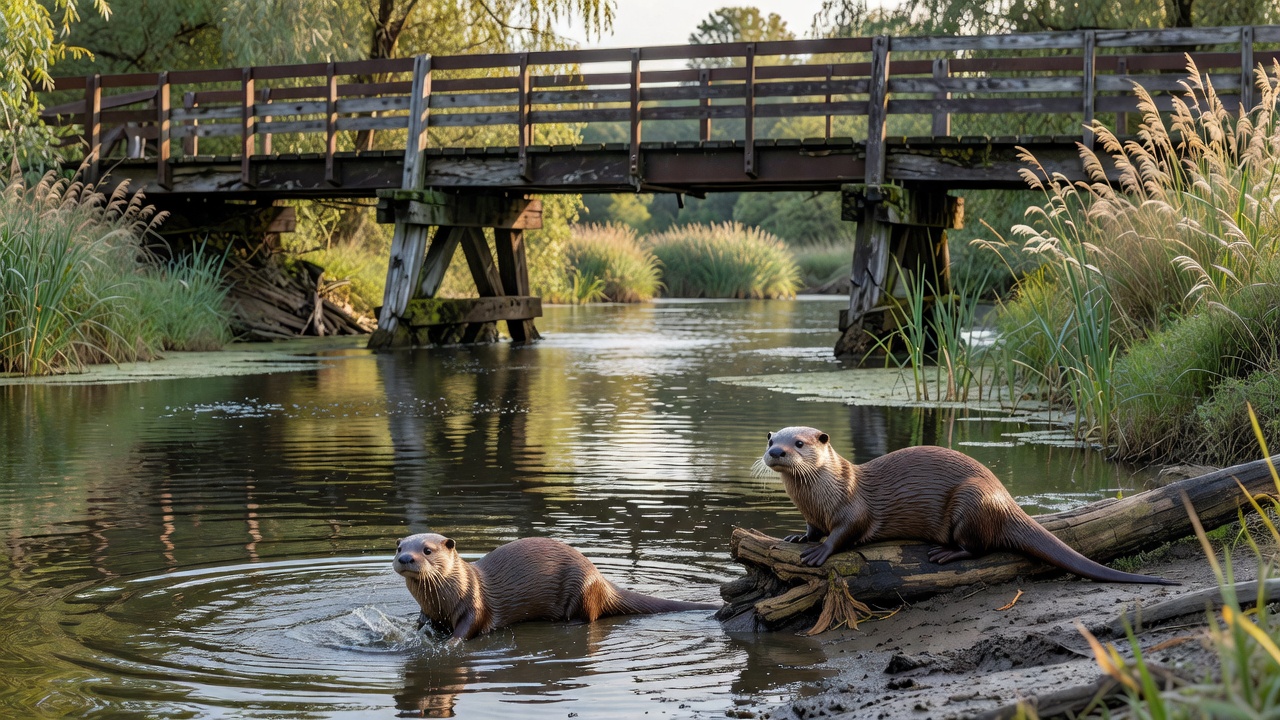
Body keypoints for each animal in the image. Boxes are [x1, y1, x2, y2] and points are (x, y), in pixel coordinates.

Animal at [392, 533, 719, 642]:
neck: (443, 601)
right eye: (399, 547)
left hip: (582, 587)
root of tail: (601, 578)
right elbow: (421, 623)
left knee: (588, 616)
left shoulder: (474, 605)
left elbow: (468, 628)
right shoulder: (428, 611)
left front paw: (450, 644)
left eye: (427, 550)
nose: (406, 558)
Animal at [760, 426, 1176, 584]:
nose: (776, 452)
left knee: (979, 547)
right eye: (771, 440)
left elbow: (845, 532)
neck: (820, 497)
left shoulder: (853, 506)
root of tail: (1005, 499)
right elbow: (812, 529)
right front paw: (798, 538)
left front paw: (820, 552)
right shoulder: (813, 514)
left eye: (799, 443)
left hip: (970, 500)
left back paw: (946, 554)